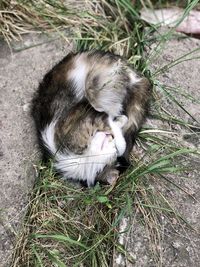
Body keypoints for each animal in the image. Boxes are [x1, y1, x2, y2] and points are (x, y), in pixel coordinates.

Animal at [31, 51, 151, 187]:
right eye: (111, 146)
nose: (109, 137)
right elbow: (116, 124)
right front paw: (120, 127)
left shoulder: (91, 117)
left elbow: (112, 124)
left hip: (97, 85)